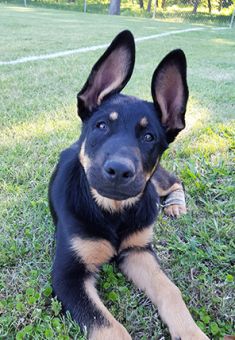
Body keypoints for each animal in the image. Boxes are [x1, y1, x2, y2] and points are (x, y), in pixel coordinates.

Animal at [48, 30, 208, 338]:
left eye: (149, 137)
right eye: (101, 125)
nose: (120, 170)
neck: (112, 211)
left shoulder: (138, 251)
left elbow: (170, 291)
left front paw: (192, 332)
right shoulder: (67, 275)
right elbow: (108, 326)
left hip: (154, 183)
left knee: (174, 181)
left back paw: (175, 206)